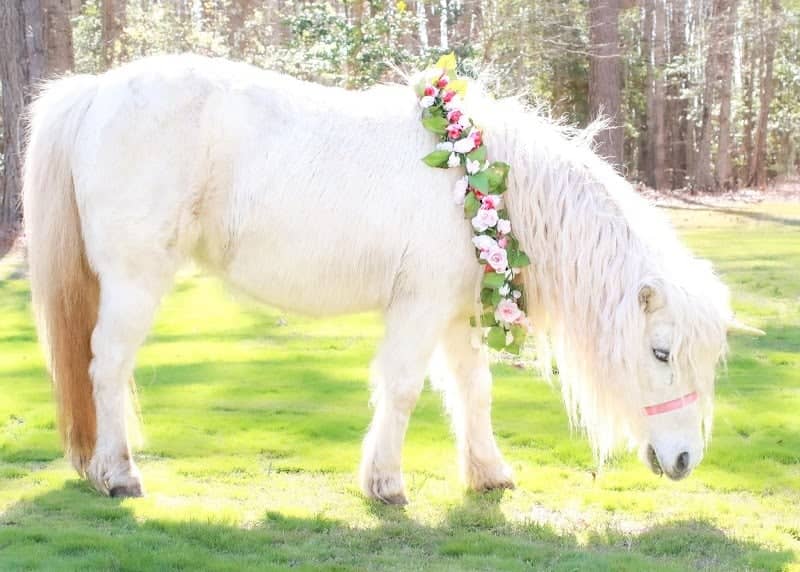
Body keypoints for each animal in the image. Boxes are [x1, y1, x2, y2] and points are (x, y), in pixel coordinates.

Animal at [23, 54, 762, 504]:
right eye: (661, 352)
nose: (685, 460)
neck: (483, 177)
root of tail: (94, 90)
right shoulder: (420, 306)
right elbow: (403, 389)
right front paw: (385, 483)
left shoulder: (460, 313)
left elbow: (474, 393)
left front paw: (488, 473)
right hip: (134, 282)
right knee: (106, 367)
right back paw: (118, 473)